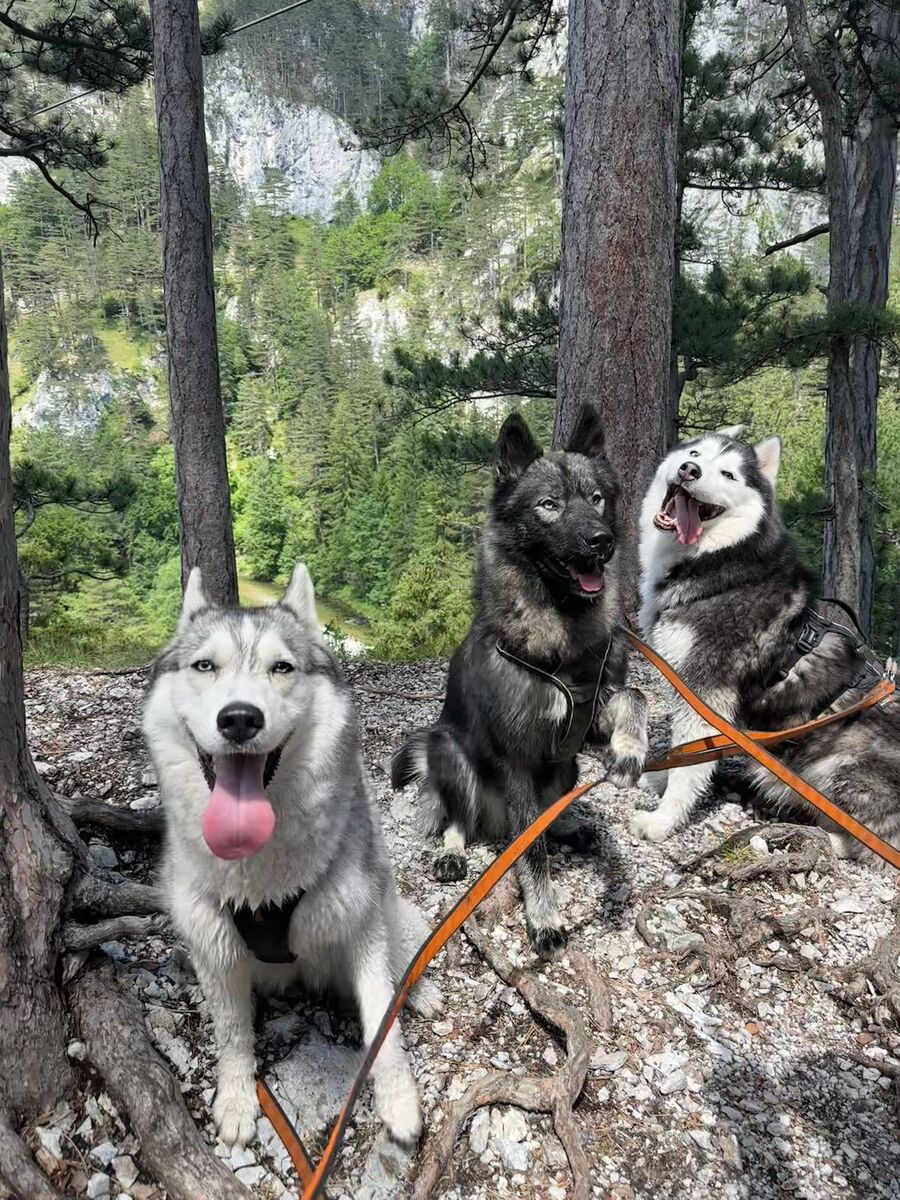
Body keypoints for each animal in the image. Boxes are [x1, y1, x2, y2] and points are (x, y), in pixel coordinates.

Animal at [143, 565, 439, 1149]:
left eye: (282, 667)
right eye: (204, 665)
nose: (239, 719)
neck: (262, 882)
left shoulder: (363, 923)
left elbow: (383, 1024)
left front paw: (398, 1101)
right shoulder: (215, 944)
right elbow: (232, 1035)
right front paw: (237, 1099)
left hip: (390, 917)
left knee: (401, 968)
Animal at [392, 407, 648, 957]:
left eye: (597, 498)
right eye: (549, 505)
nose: (601, 541)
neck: (559, 640)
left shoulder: (588, 719)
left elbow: (635, 695)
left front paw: (630, 748)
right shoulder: (516, 763)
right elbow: (530, 852)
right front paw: (544, 917)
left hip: (567, 768)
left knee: (549, 811)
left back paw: (569, 825)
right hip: (453, 758)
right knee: (457, 819)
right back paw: (453, 851)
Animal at [632, 427, 900, 862]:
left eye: (728, 474)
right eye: (695, 454)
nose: (689, 470)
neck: (719, 562)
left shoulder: (708, 690)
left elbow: (689, 765)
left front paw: (663, 819)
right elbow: (687, 751)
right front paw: (662, 781)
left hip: (838, 765)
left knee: (875, 840)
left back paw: (821, 835)